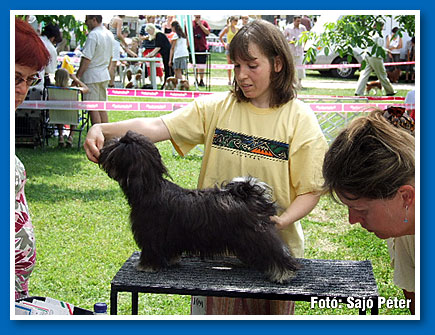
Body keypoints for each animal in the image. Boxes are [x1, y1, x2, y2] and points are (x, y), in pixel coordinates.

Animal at [99, 131, 300, 284]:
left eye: (120, 146)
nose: (103, 147)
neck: (150, 188)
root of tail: (250, 194)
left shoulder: (151, 235)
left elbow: (150, 252)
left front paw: (145, 267)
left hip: (256, 236)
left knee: (277, 253)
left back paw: (283, 274)